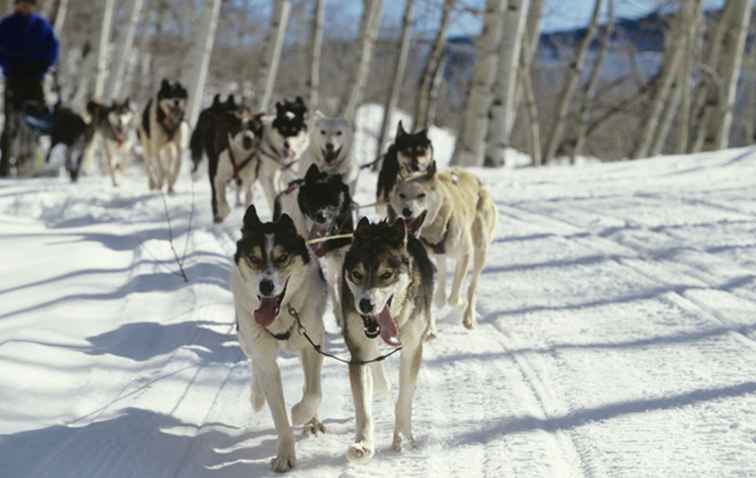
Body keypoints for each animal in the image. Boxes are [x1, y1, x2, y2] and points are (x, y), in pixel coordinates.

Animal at [229, 204, 326, 470]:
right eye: (254, 259)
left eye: (282, 258)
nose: (266, 286)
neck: (281, 315)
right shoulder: (264, 355)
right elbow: (279, 415)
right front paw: (285, 456)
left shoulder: (313, 344)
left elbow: (313, 393)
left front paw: (301, 414)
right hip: (246, 338)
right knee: (254, 364)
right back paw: (256, 397)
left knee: (310, 384)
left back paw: (312, 421)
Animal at [340, 218, 434, 464]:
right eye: (357, 274)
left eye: (386, 275)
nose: (365, 304)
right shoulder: (359, 353)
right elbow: (363, 407)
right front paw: (363, 444)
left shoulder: (412, 349)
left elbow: (404, 399)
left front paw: (402, 436)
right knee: (379, 375)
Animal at [390, 162, 496, 330]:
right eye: (402, 195)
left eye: (421, 195)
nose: (407, 211)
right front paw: (431, 327)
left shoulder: (464, 253)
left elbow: (454, 298)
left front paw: (459, 303)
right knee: (441, 271)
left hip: (480, 248)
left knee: (472, 287)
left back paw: (468, 316)